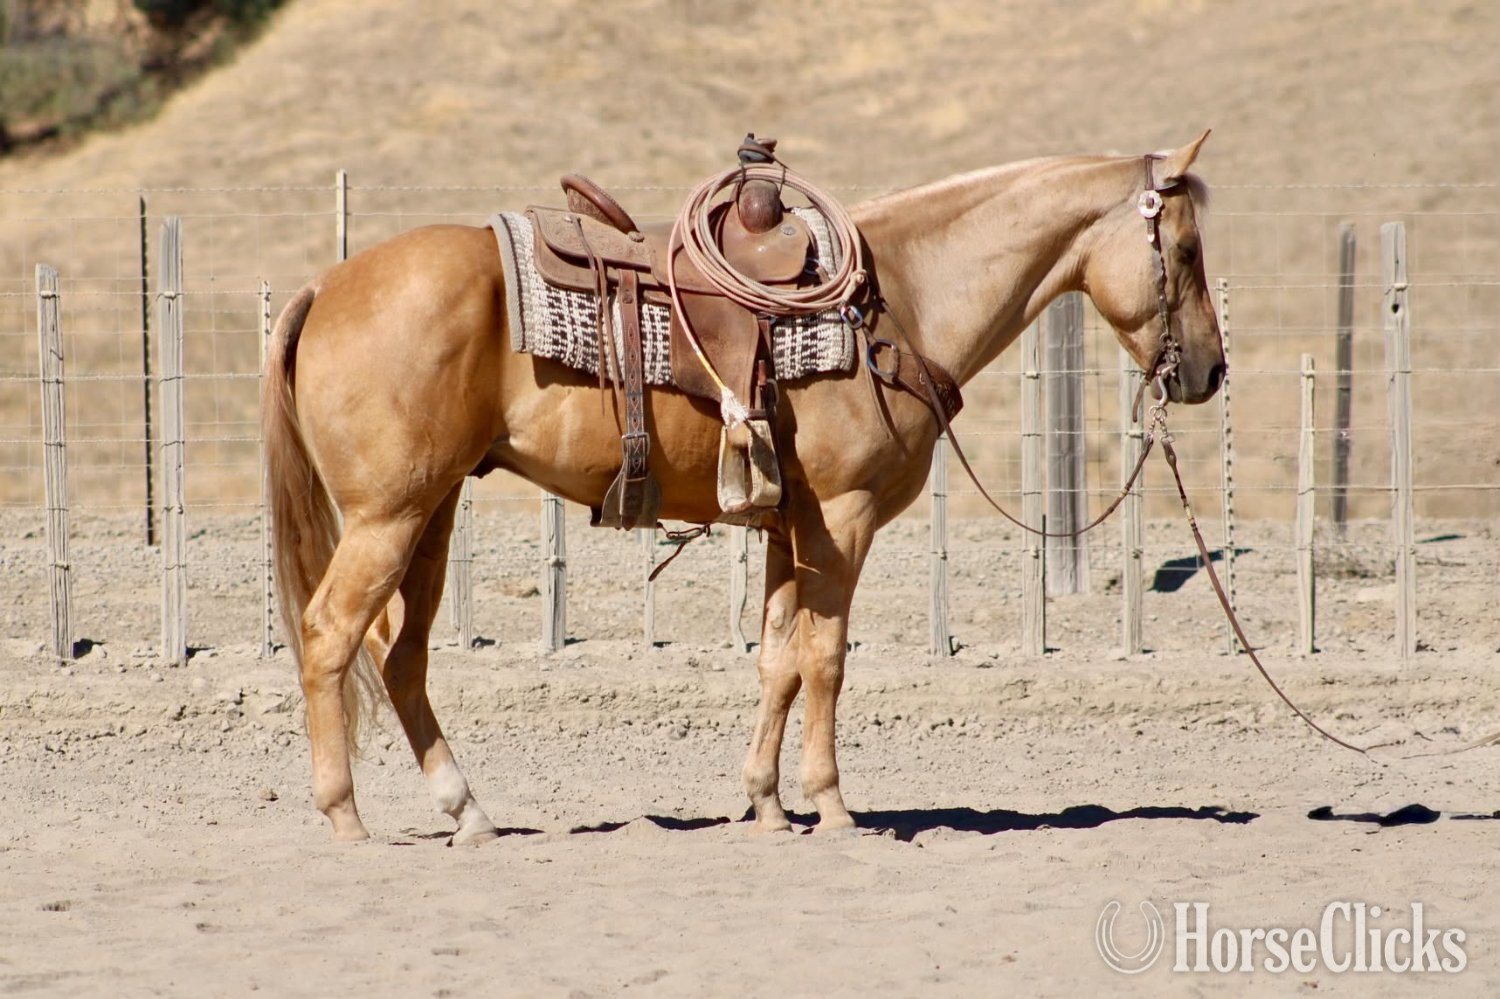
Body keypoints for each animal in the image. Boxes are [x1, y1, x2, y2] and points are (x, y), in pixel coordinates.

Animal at [262, 132, 1225, 842]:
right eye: (1183, 248)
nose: (1208, 371)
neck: (900, 300)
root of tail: (327, 284)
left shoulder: (788, 525)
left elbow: (778, 660)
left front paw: (765, 802)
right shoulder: (842, 518)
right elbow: (826, 659)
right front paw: (832, 805)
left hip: (431, 512)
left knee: (402, 659)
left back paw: (468, 813)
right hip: (389, 517)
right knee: (330, 635)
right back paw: (346, 818)